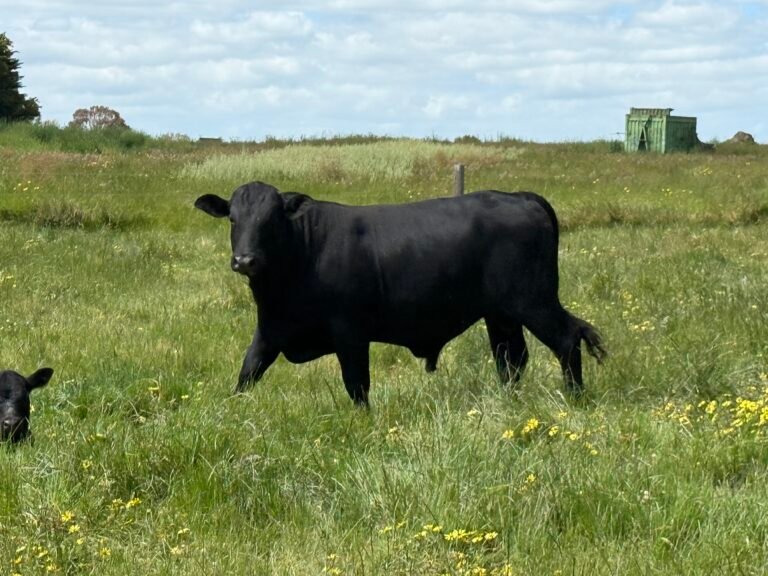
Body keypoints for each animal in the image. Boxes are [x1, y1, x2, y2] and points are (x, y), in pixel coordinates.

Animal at [195, 181, 605, 407]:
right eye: (234, 219)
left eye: (271, 219)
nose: (245, 260)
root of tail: (521, 196)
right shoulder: (269, 331)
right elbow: (247, 374)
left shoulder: (350, 332)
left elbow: (357, 385)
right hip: (501, 315)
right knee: (512, 360)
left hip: (534, 302)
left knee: (566, 338)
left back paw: (575, 398)